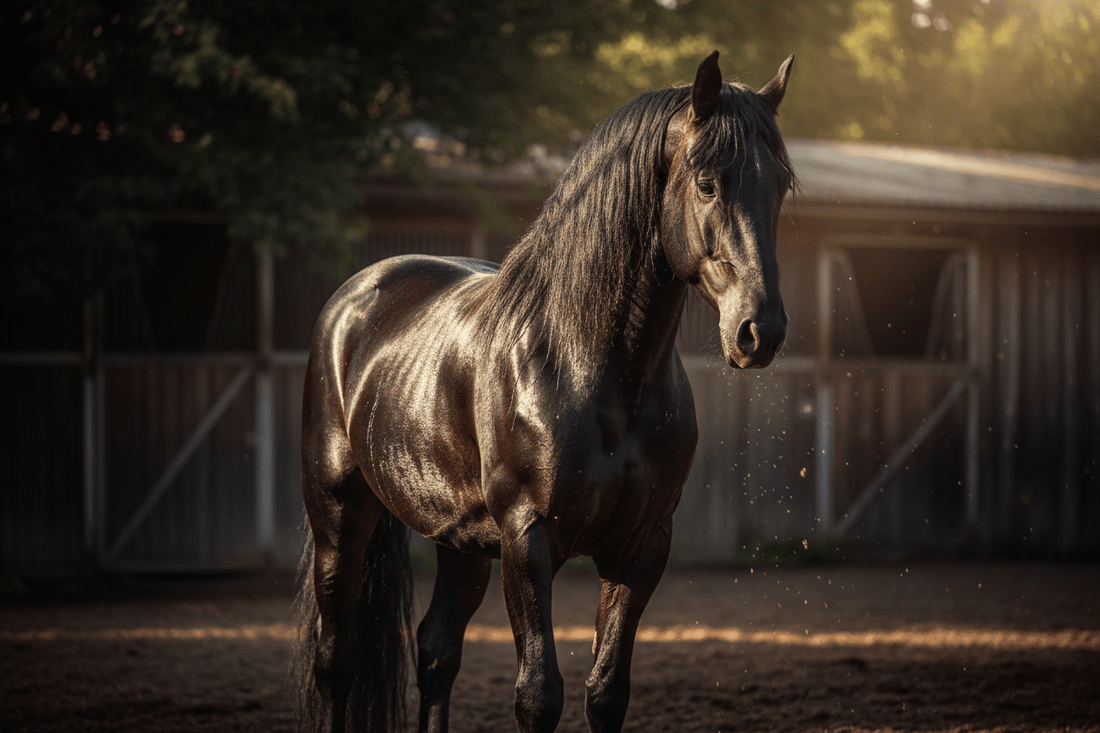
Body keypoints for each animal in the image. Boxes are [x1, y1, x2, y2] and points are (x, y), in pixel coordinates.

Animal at [293, 50, 796, 733]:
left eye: (780, 186)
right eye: (707, 182)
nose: (760, 330)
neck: (590, 369)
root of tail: (355, 296)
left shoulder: (642, 548)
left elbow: (605, 692)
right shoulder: (528, 544)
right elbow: (539, 695)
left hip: (460, 541)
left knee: (436, 652)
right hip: (341, 518)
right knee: (338, 660)